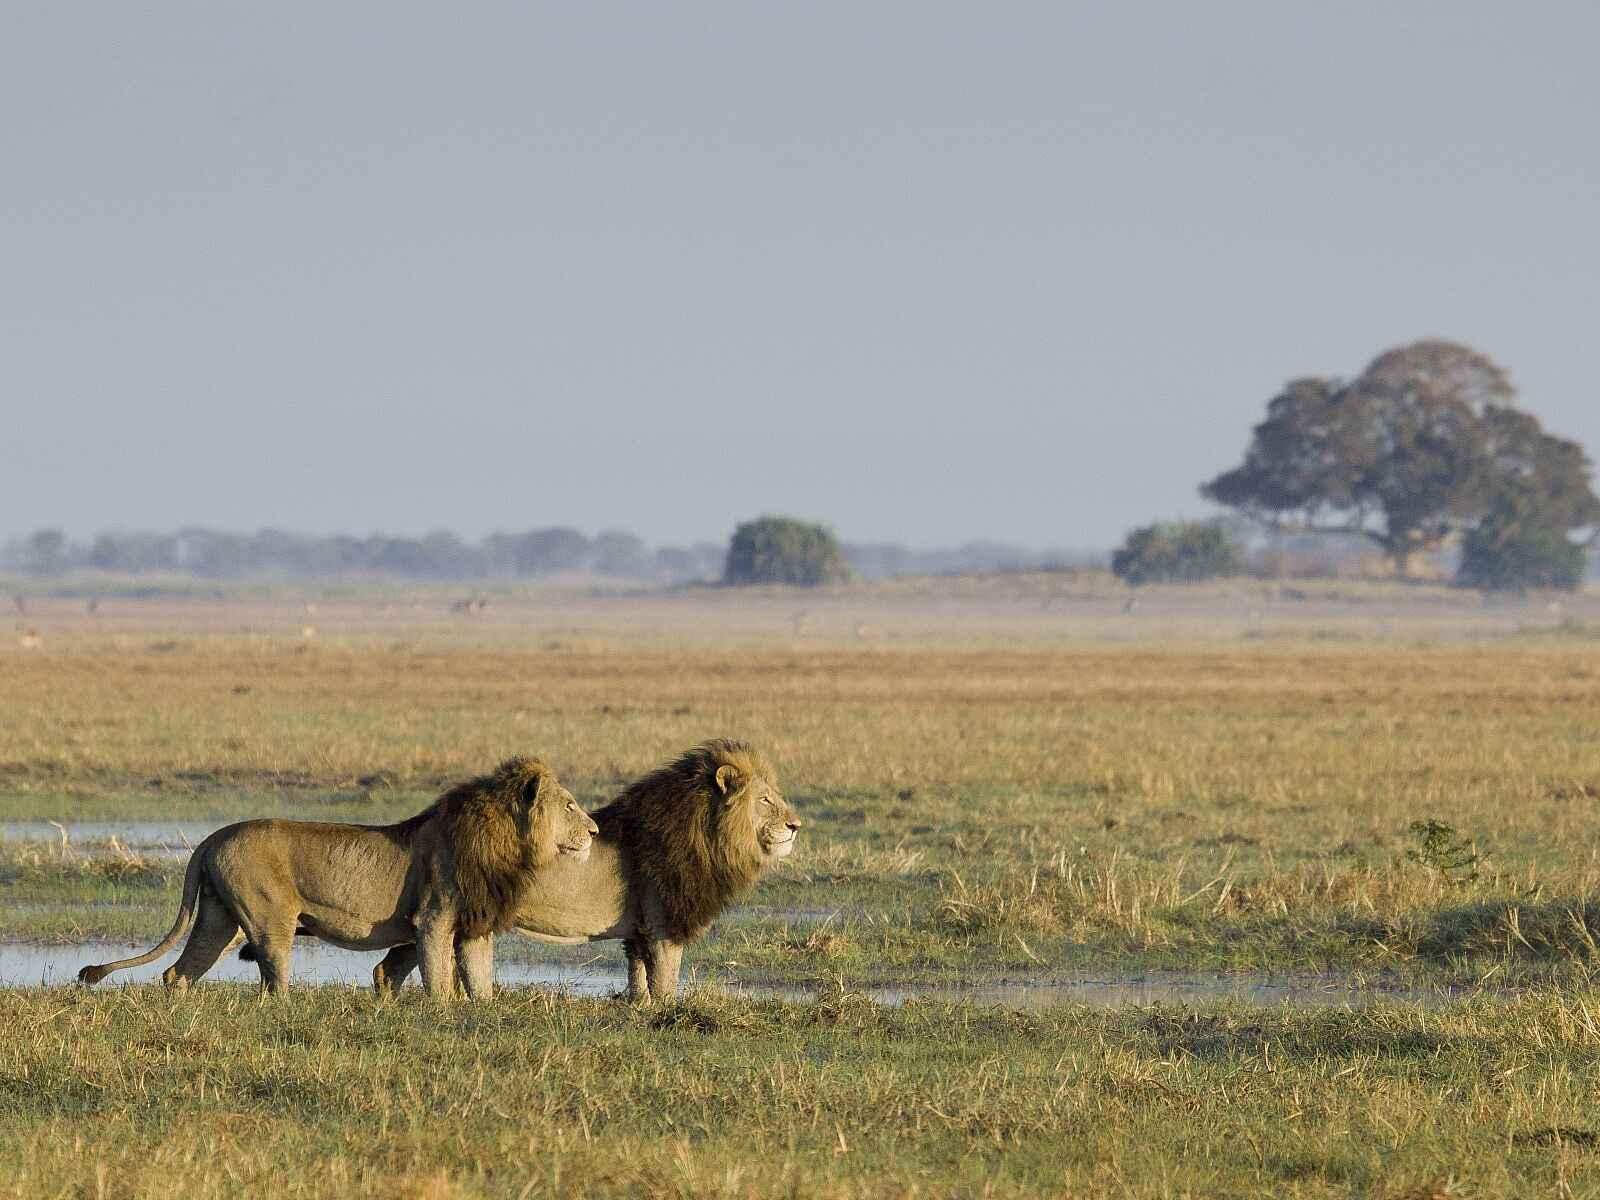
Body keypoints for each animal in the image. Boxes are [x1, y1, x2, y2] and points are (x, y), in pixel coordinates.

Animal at [77, 757, 597, 998]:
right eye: (570, 805)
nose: (594, 831)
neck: (509, 843)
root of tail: (214, 836)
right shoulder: (433, 918)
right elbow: (439, 980)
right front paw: (444, 1016)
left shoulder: (474, 925)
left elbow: (480, 981)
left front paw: (479, 1012)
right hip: (268, 919)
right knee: (273, 979)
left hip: (219, 918)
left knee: (179, 971)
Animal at [371, 739, 800, 1004]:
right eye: (765, 800)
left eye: (776, 797)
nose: (796, 825)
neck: (708, 834)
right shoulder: (663, 923)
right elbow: (665, 980)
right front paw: (667, 1011)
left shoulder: (640, 928)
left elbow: (638, 975)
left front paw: (638, 1007)